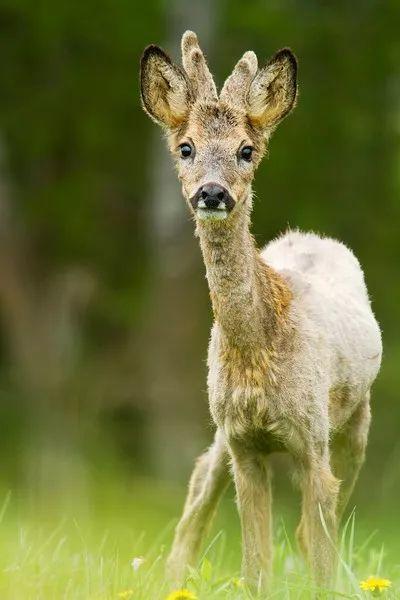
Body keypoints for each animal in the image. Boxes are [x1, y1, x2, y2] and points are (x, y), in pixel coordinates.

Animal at [140, 31, 382, 592]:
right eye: (186, 148)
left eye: (245, 150)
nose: (212, 192)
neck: (257, 348)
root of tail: (310, 235)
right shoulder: (242, 442)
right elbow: (255, 565)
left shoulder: (312, 437)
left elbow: (319, 549)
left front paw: (325, 588)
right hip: (221, 430)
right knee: (200, 480)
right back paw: (173, 573)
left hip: (356, 420)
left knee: (320, 526)